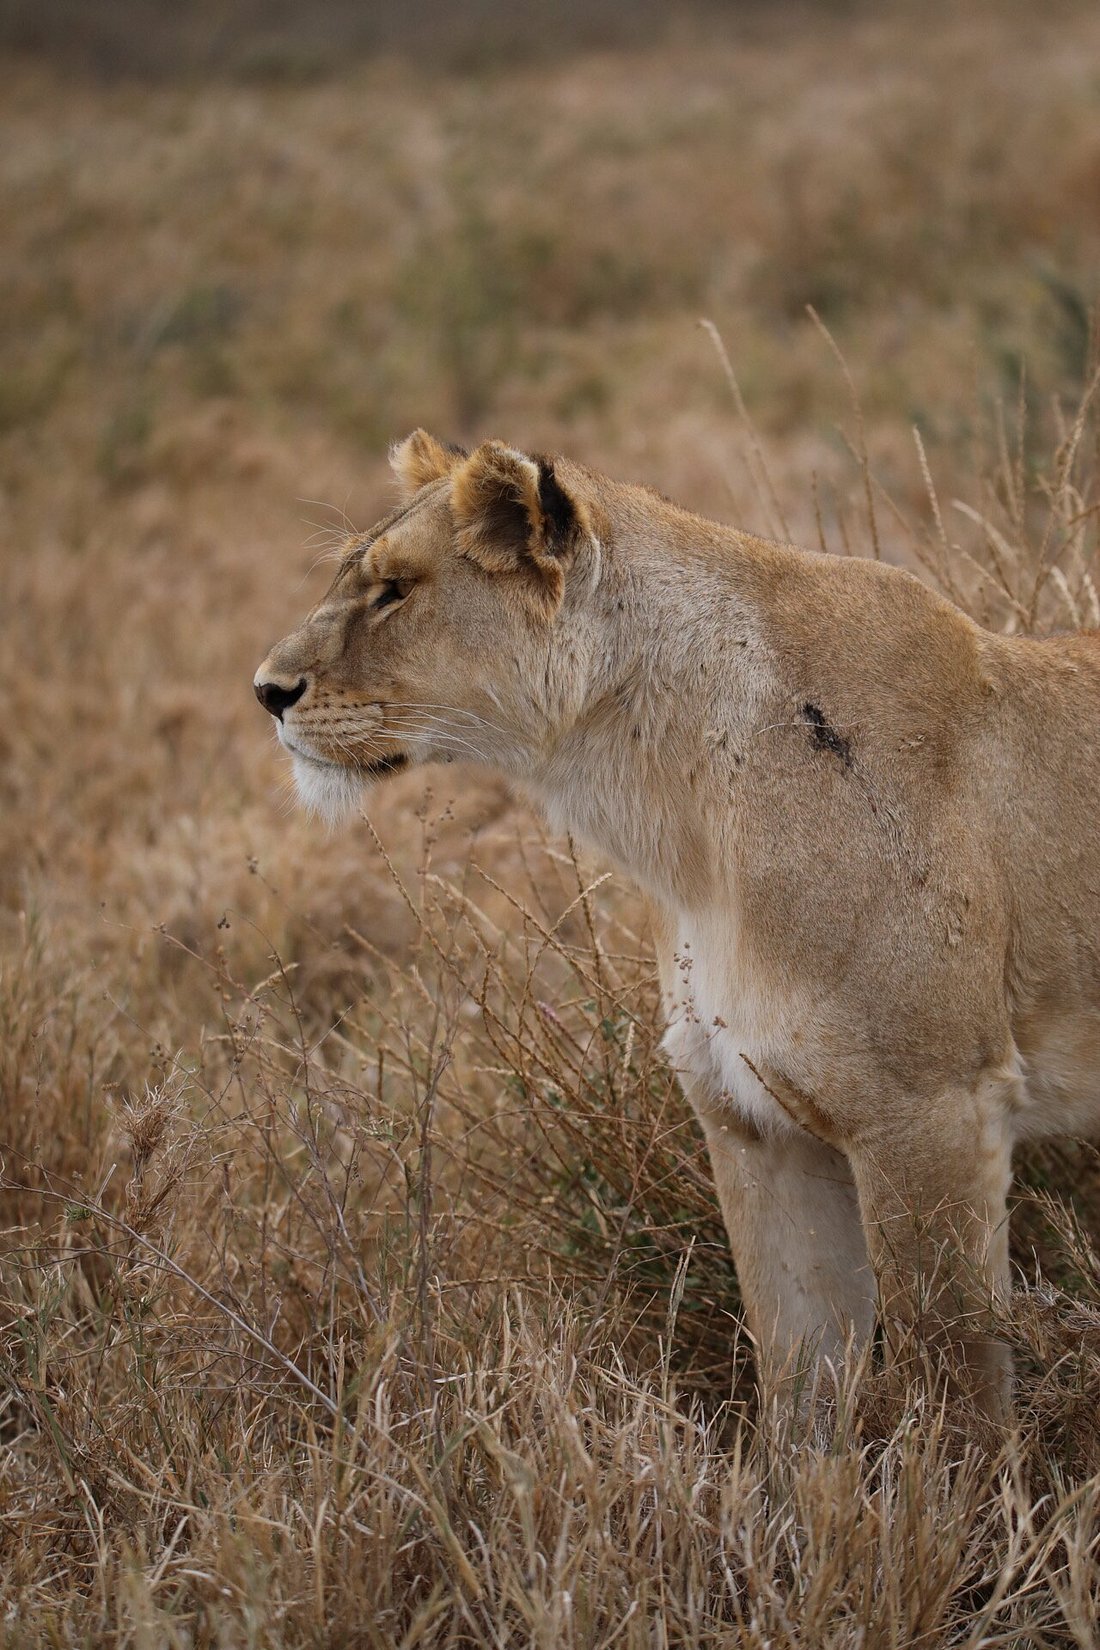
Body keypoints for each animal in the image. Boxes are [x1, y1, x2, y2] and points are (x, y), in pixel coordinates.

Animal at [255, 429, 1100, 1421]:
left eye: (395, 588)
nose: (267, 691)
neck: (681, 821)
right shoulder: (750, 1122)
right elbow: (799, 1385)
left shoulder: (932, 1108)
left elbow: (953, 1378)